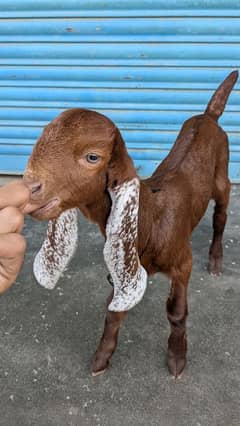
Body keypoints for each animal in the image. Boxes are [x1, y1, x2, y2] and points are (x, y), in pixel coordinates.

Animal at [23, 70, 237, 380]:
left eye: (92, 156)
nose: (30, 187)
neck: (151, 219)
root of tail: (208, 117)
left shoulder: (183, 263)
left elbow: (176, 312)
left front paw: (176, 359)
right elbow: (113, 311)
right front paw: (101, 358)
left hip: (222, 176)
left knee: (221, 215)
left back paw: (215, 260)